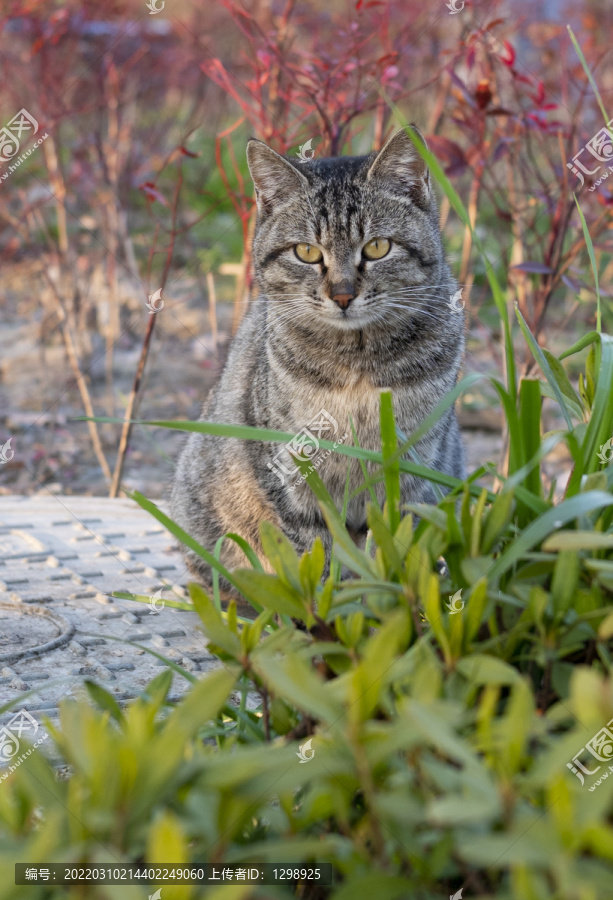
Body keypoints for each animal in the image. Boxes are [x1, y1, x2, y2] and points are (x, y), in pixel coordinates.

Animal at [170, 128, 462, 592]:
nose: (342, 295)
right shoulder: (290, 472)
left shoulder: (415, 470)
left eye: (377, 247)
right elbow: (317, 553)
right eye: (306, 252)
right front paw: (330, 606)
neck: (358, 361)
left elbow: (394, 549)